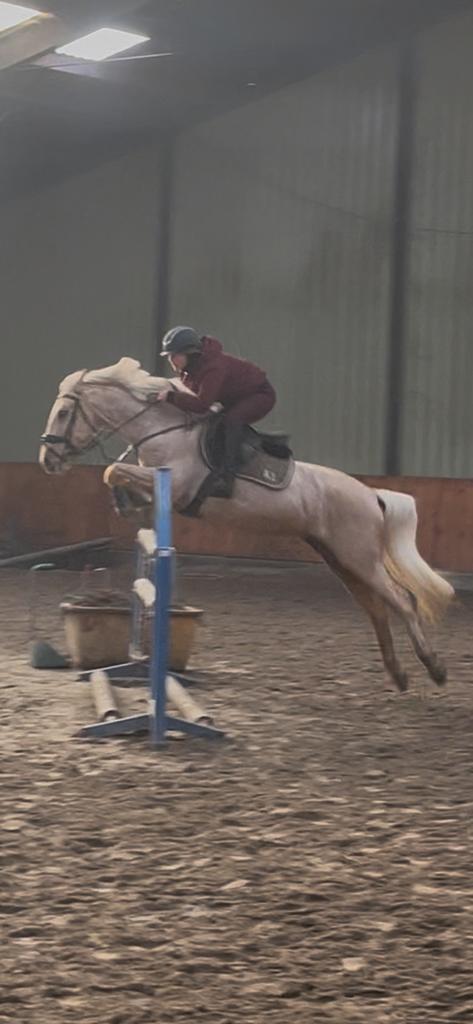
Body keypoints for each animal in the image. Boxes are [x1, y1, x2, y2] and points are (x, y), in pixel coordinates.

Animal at [39, 357, 454, 693]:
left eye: (63, 413)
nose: (47, 460)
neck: (161, 431)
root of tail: (371, 496)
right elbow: (116, 475)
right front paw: (127, 505)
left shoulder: (177, 487)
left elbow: (111, 470)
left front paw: (125, 502)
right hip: (342, 561)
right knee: (378, 610)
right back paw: (398, 675)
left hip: (360, 559)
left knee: (404, 601)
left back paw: (434, 668)